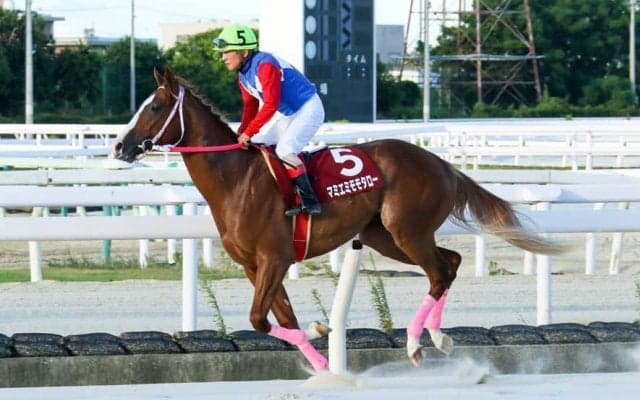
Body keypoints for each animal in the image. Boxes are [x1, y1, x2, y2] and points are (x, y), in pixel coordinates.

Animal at [113, 68, 565, 372]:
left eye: (155, 106)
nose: (120, 146)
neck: (237, 180)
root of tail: (442, 164)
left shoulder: (274, 258)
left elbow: (260, 319)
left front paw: (322, 334)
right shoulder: (254, 266)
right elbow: (281, 320)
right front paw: (325, 362)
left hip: (407, 230)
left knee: (440, 271)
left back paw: (418, 343)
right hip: (385, 237)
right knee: (450, 263)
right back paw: (438, 337)